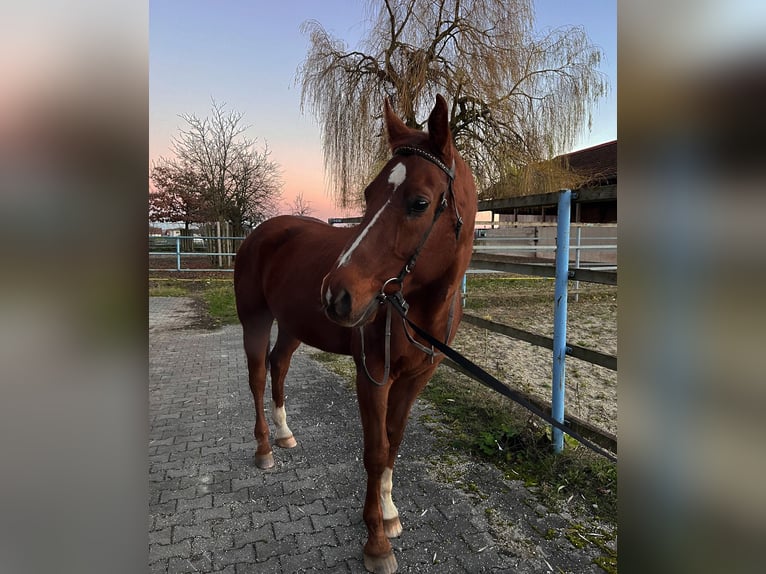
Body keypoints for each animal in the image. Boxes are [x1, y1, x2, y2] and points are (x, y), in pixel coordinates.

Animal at [234, 97, 476, 572]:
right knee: (256, 376)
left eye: (420, 202)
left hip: (293, 327)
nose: (336, 294)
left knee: (279, 365)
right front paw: (376, 543)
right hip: (255, 320)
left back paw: (285, 434)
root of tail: (260, 232)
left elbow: (394, 443)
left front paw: (390, 512)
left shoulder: (416, 378)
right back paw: (265, 449)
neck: (416, 307)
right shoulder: (372, 376)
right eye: (368, 194)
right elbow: (375, 450)